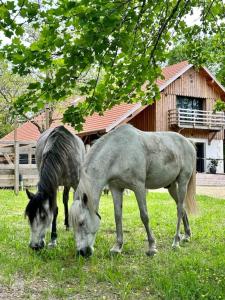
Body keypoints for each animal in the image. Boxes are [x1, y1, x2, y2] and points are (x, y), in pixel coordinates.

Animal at [69, 124, 196, 258]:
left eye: (82, 223)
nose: (82, 252)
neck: (119, 153)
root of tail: (188, 142)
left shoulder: (139, 187)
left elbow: (144, 215)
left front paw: (152, 247)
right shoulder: (116, 188)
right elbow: (118, 216)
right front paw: (117, 247)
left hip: (182, 182)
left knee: (179, 210)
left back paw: (176, 242)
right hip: (171, 187)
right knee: (182, 207)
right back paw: (186, 235)